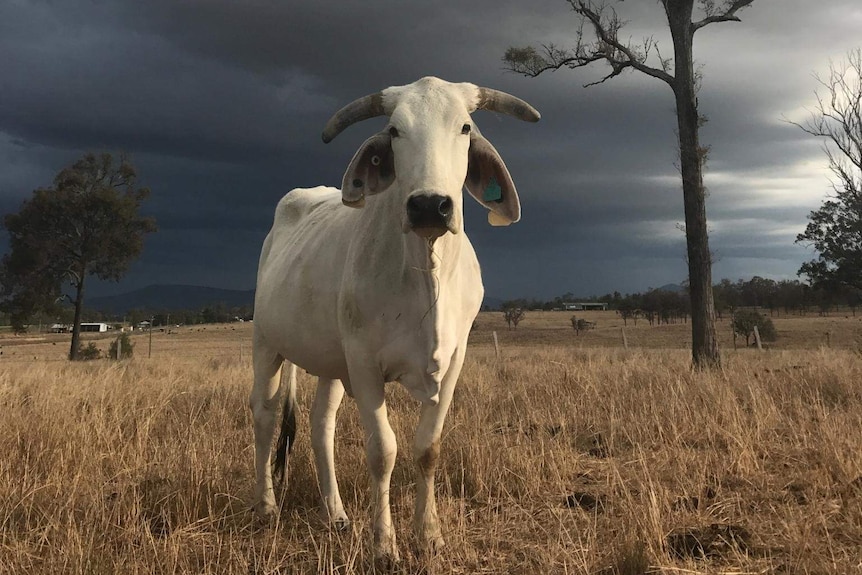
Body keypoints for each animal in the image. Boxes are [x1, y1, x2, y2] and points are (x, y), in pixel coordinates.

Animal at [251, 76, 540, 564]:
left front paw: (430, 536)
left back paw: (336, 514)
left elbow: (427, 449)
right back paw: (267, 506)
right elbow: (382, 451)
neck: (426, 272)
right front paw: (384, 546)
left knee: (321, 425)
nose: (429, 206)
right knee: (265, 417)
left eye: (465, 127)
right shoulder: (365, 366)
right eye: (394, 130)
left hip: (330, 364)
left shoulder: (453, 362)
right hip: (265, 345)